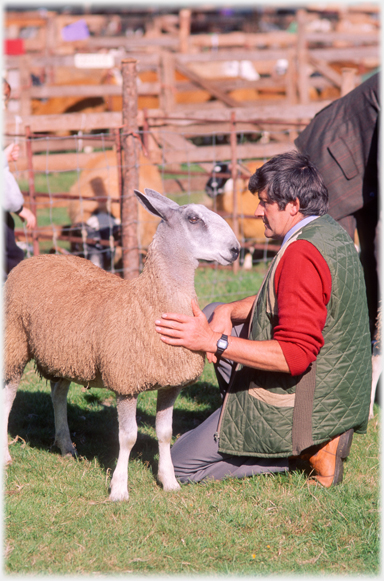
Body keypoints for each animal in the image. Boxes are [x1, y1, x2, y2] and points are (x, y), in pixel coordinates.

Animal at [3, 188, 240, 500]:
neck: (150, 303)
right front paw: (118, 489)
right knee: (8, 396)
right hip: (15, 340)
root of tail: (37, 258)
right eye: (193, 218)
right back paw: (7, 456)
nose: (236, 249)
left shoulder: (171, 384)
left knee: (58, 393)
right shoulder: (126, 382)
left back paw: (66, 446)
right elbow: (128, 437)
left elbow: (165, 433)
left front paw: (169, 482)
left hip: (66, 352)